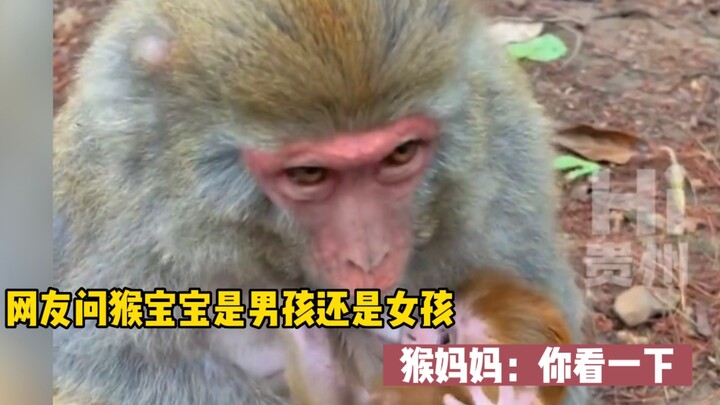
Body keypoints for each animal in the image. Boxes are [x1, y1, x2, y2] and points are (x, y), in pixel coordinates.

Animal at [52, 1, 587, 404]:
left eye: (400, 154)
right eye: (308, 174)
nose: (369, 258)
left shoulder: (503, 157)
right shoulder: (121, 195)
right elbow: (98, 367)